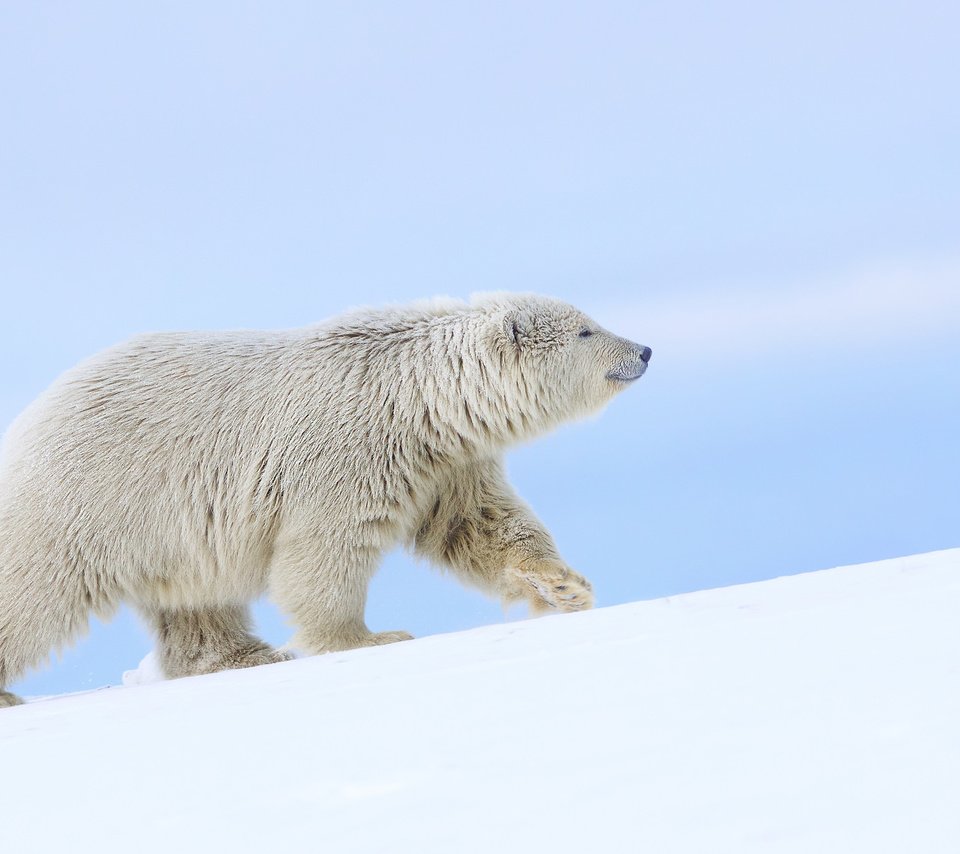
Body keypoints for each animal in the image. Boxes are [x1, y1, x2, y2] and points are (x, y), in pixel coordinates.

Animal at [0, 294, 652, 708]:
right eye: (586, 330)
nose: (643, 350)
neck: (414, 397)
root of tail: (27, 420)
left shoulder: (445, 464)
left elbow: (481, 525)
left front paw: (565, 587)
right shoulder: (345, 448)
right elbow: (324, 548)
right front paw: (371, 638)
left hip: (172, 532)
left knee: (197, 602)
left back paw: (249, 655)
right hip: (93, 497)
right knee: (35, 590)